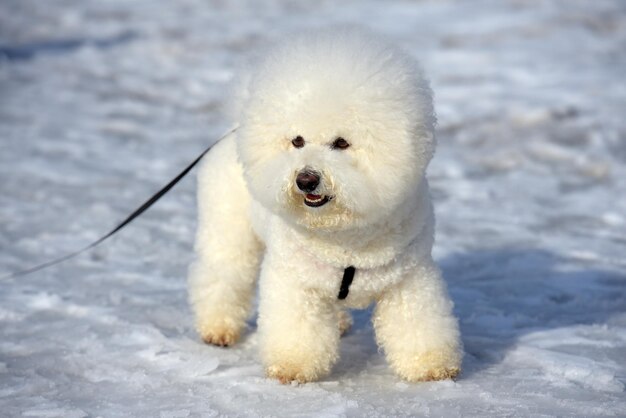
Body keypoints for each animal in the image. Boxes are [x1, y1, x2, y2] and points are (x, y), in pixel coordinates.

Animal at [185, 27, 458, 384]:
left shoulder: (410, 277)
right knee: (223, 273)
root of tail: (236, 128)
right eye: (297, 141)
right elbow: (296, 327)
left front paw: (431, 366)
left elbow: (418, 321)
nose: (306, 179)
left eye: (341, 143)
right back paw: (217, 328)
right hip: (228, 226)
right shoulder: (295, 281)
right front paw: (293, 366)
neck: (344, 235)